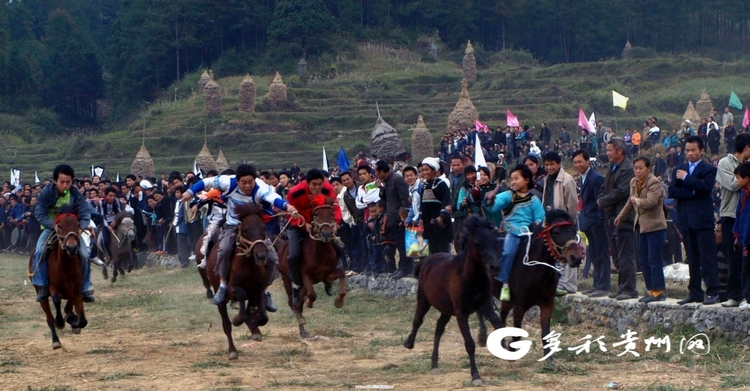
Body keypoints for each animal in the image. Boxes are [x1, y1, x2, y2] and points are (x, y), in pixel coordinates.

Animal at [27, 207, 88, 350]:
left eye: (77, 225)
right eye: (59, 226)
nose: (72, 247)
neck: (65, 265)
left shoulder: (76, 289)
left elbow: (82, 320)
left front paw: (73, 321)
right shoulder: (53, 287)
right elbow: (56, 300)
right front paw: (60, 322)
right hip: (41, 296)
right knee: (49, 317)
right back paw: (56, 341)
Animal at [206, 204, 270, 360]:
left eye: (264, 228)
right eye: (245, 229)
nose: (261, 255)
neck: (248, 265)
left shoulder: (259, 289)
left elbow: (262, 317)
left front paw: (256, 324)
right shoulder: (233, 289)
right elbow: (241, 301)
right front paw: (239, 320)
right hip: (221, 299)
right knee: (226, 324)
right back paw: (232, 350)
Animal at [278, 198, 348, 338]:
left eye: (331, 214)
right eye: (316, 215)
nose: (326, 233)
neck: (320, 251)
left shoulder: (328, 273)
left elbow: (342, 273)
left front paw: (339, 301)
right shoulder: (306, 276)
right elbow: (312, 294)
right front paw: (310, 303)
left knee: (299, 301)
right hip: (286, 278)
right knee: (293, 302)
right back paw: (301, 322)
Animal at [406, 214, 506, 386]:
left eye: (496, 241)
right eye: (478, 244)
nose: (495, 267)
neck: (470, 278)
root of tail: (426, 261)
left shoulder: (485, 304)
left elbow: (496, 322)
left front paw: (505, 347)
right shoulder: (461, 313)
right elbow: (470, 344)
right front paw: (476, 376)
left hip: (446, 310)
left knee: (439, 329)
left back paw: (434, 364)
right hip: (424, 300)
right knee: (418, 320)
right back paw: (409, 343)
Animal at [476, 210, 588, 362]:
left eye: (574, 230)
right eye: (556, 232)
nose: (576, 258)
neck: (536, 270)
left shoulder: (547, 304)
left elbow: (545, 331)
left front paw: (548, 357)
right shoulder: (520, 306)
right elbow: (517, 330)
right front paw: (512, 351)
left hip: (507, 300)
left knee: (502, 314)